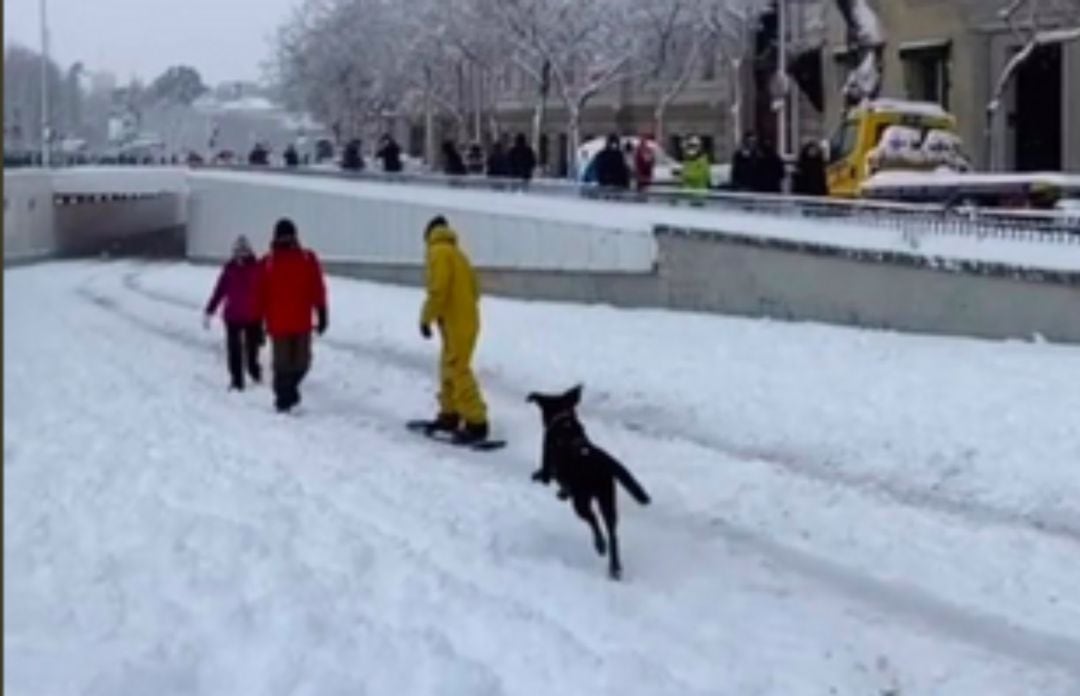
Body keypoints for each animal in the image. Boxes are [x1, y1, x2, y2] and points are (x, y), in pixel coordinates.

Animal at [524, 382, 648, 579]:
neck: (563, 420)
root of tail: (599, 459)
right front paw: (561, 493)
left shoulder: (547, 463)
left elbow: (545, 475)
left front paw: (538, 478)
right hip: (607, 500)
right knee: (613, 533)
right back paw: (614, 567)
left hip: (582, 501)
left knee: (593, 520)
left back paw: (600, 546)